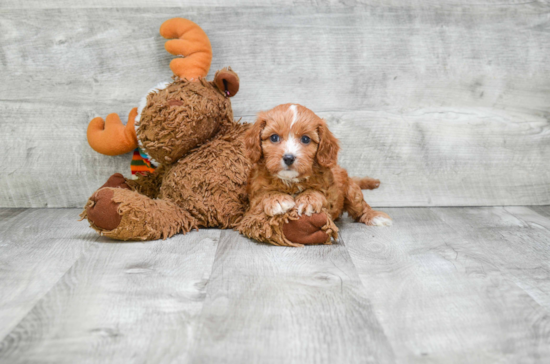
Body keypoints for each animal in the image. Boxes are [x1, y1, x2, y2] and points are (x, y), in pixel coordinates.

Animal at [245, 102, 392, 239]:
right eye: (274, 137)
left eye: (305, 139)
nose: (288, 158)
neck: (291, 181)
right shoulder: (254, 198)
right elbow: (263, 195)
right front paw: (277, 199)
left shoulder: (329, 189)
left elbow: (318, 192)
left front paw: (308, 199)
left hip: (351, 190)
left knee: (360, 206)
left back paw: (375, 216)